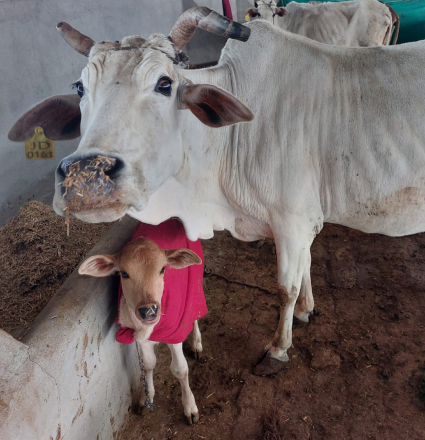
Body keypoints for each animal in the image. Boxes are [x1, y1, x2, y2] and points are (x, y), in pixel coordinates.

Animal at [8, 7, 424, 374]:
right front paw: (307, 310)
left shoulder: (291, 219)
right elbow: (305, 267)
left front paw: (278, 349)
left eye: (165, 84)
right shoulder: (304, 220)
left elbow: (285, 288)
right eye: (80, 87)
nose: (87, 175)